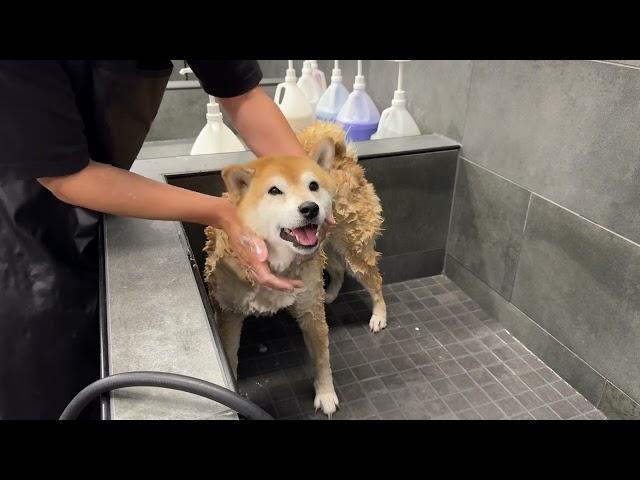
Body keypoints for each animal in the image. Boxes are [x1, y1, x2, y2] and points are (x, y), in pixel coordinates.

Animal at [205, 121, 384, 416]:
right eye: (274, 191)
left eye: (313, 185)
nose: (310, 208)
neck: (279, 264)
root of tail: (342, 160)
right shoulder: (229, 313)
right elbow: (230, 355)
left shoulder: (311, 312)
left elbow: (322, 360)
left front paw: (325, 395)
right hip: (328, 249)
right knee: (337, 270)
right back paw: (330, 294)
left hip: (354, 251)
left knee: (375, 282)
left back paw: (379, 316)